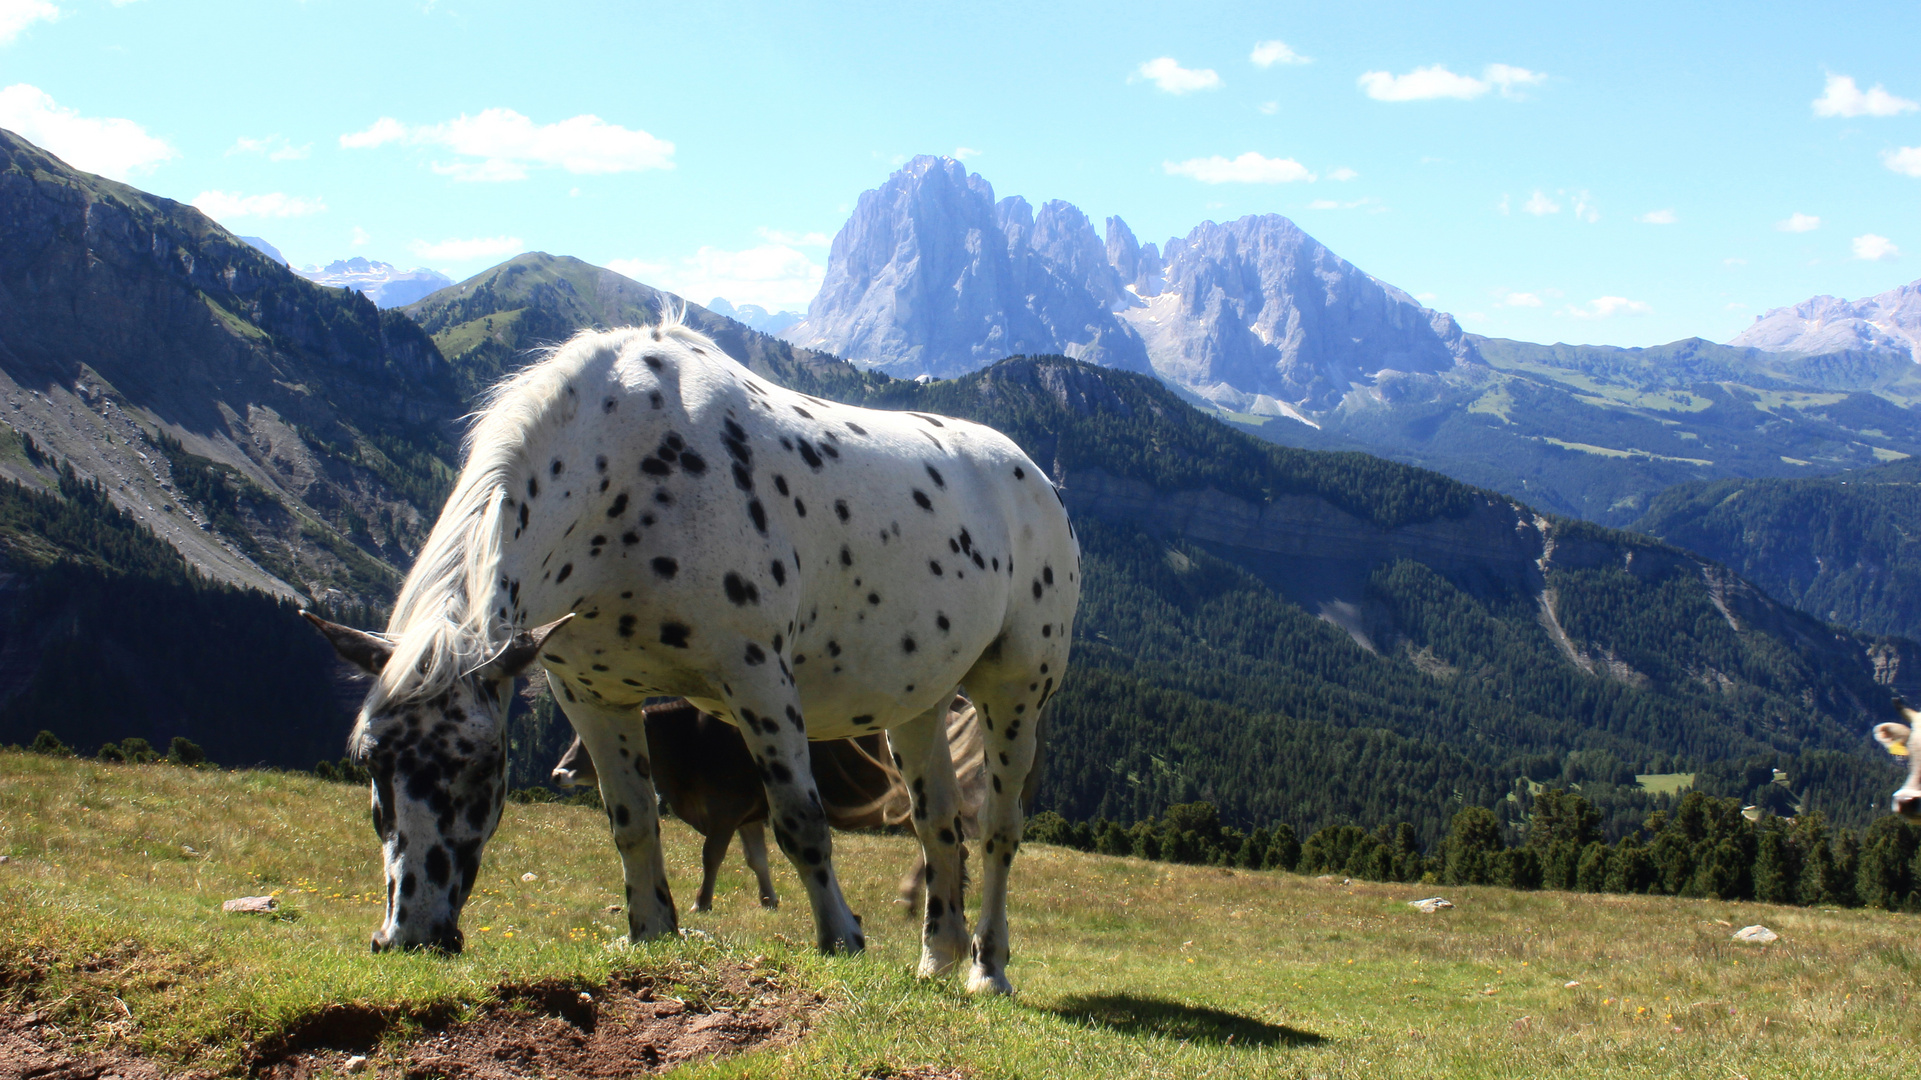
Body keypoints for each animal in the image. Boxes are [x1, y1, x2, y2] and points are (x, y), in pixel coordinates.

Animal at [303, 317, 1083, 991]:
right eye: (369, 760)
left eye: (477, 764)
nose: (408, 936)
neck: (629, 479)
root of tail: (1037, 480)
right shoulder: (589, 696)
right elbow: (632, 820)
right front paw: (651, 932)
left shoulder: (756, 676)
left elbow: (800, 821)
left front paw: (841, 938)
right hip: (918, 708)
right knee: (938, 827)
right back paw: (936, 961)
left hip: (1013, 696)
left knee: (997, 831)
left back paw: (987, 969)